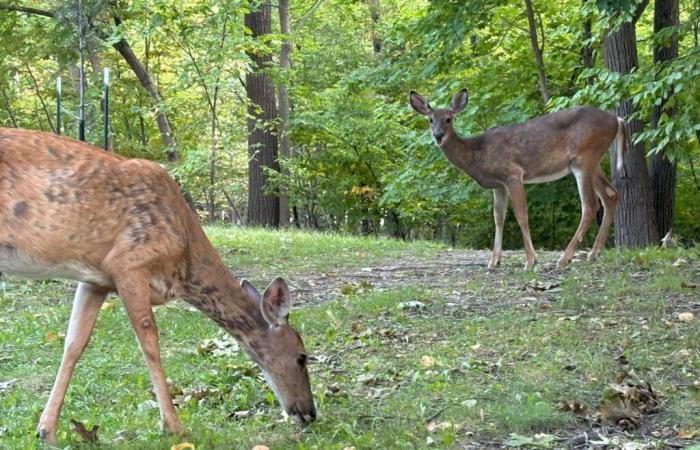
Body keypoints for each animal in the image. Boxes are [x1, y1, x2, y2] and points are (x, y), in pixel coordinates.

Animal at [0, 127, 316, 446]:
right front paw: (174, 426)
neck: (182, 263)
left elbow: (74, 343)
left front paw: (46, 430)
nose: (310, 413)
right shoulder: (129, 264)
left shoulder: (95, 280)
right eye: (301, 357)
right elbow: (150, 344)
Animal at [410, 89, 624, 268]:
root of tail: (617, 120)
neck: (477, 154)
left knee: (590, 205)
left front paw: (530, 261)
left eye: (448, 119)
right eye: (430, 119)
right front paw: (494, 262)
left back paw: (564, 259)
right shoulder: (498, 185)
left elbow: (521, 215)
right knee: (611, 195)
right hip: (593, 162)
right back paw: (593, 254)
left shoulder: (512, 174)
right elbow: (498, 217)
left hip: (584, 158)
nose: (438, 136)